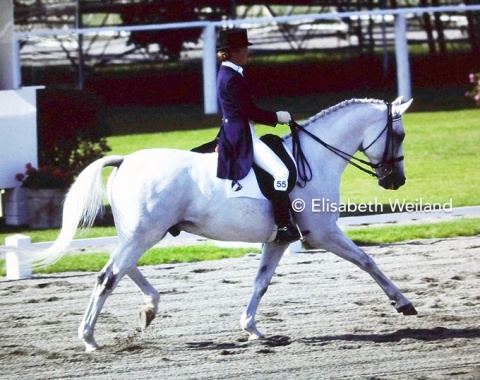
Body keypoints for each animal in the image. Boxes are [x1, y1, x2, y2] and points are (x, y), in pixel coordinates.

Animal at [14, 96, 416, 352]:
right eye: (399, 135)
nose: (395, 181)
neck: (314, 158)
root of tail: (125, 160)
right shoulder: (324, 233)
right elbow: (367, 261)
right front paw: (403, 303)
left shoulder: (279, 240)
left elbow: (261, 283)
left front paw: (252, 329)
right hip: (145, 234)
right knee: (108, 277)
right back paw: (89, 339)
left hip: (139, 234)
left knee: (121, 269)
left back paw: (148, 309)